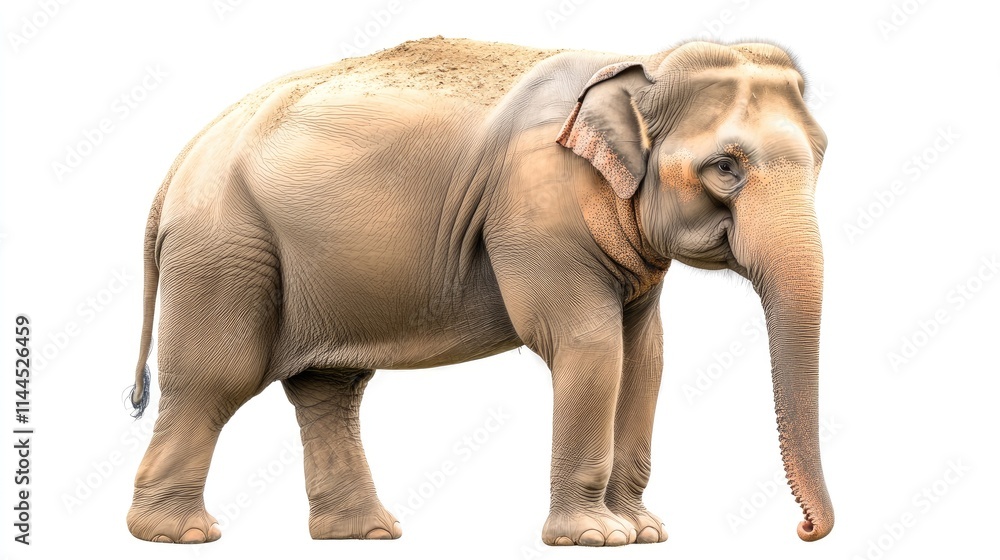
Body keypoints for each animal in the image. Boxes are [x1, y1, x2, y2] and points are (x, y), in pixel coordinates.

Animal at [124, 36, 833, 546]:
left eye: (822, 155)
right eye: (726, 167)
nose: (803, 529)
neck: (636, 66)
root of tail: (179, 162)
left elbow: (645, 359)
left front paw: (645, 532)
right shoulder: (534, 210)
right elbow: (589, 344)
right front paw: (596, 538)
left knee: (328, 387)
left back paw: (365, 532)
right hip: (226, 249)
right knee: (216, 378)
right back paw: (181, 535)